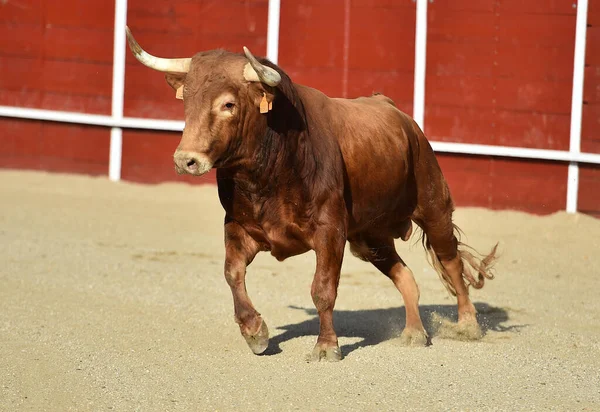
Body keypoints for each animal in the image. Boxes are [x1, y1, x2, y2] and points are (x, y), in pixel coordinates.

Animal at [125, 27, 496, 360]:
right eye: (186, 99)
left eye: (228, 104)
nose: (185, 160)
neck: (269, 170)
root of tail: (402, 117)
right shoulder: (239, 227)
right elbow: (232, 273)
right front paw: (255, 332)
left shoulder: (329, 231)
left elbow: (323, 288)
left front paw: (326, 347)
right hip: (370, 237)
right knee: (405, 275)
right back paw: (414, 333)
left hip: (432, 204)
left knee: (451, 261)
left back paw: (467, 326)